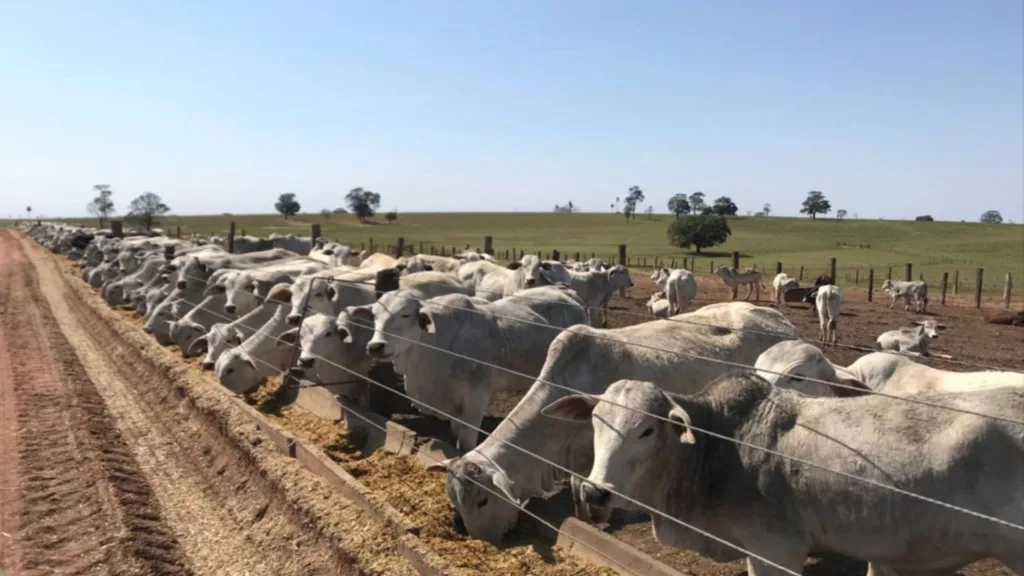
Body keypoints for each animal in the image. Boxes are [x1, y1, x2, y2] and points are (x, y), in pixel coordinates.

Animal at [423, 303, 798, 541]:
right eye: (455, 501)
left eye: (482, 501)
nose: (485, 540)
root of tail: (782, 321)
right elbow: (579, 493)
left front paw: (600, 521)